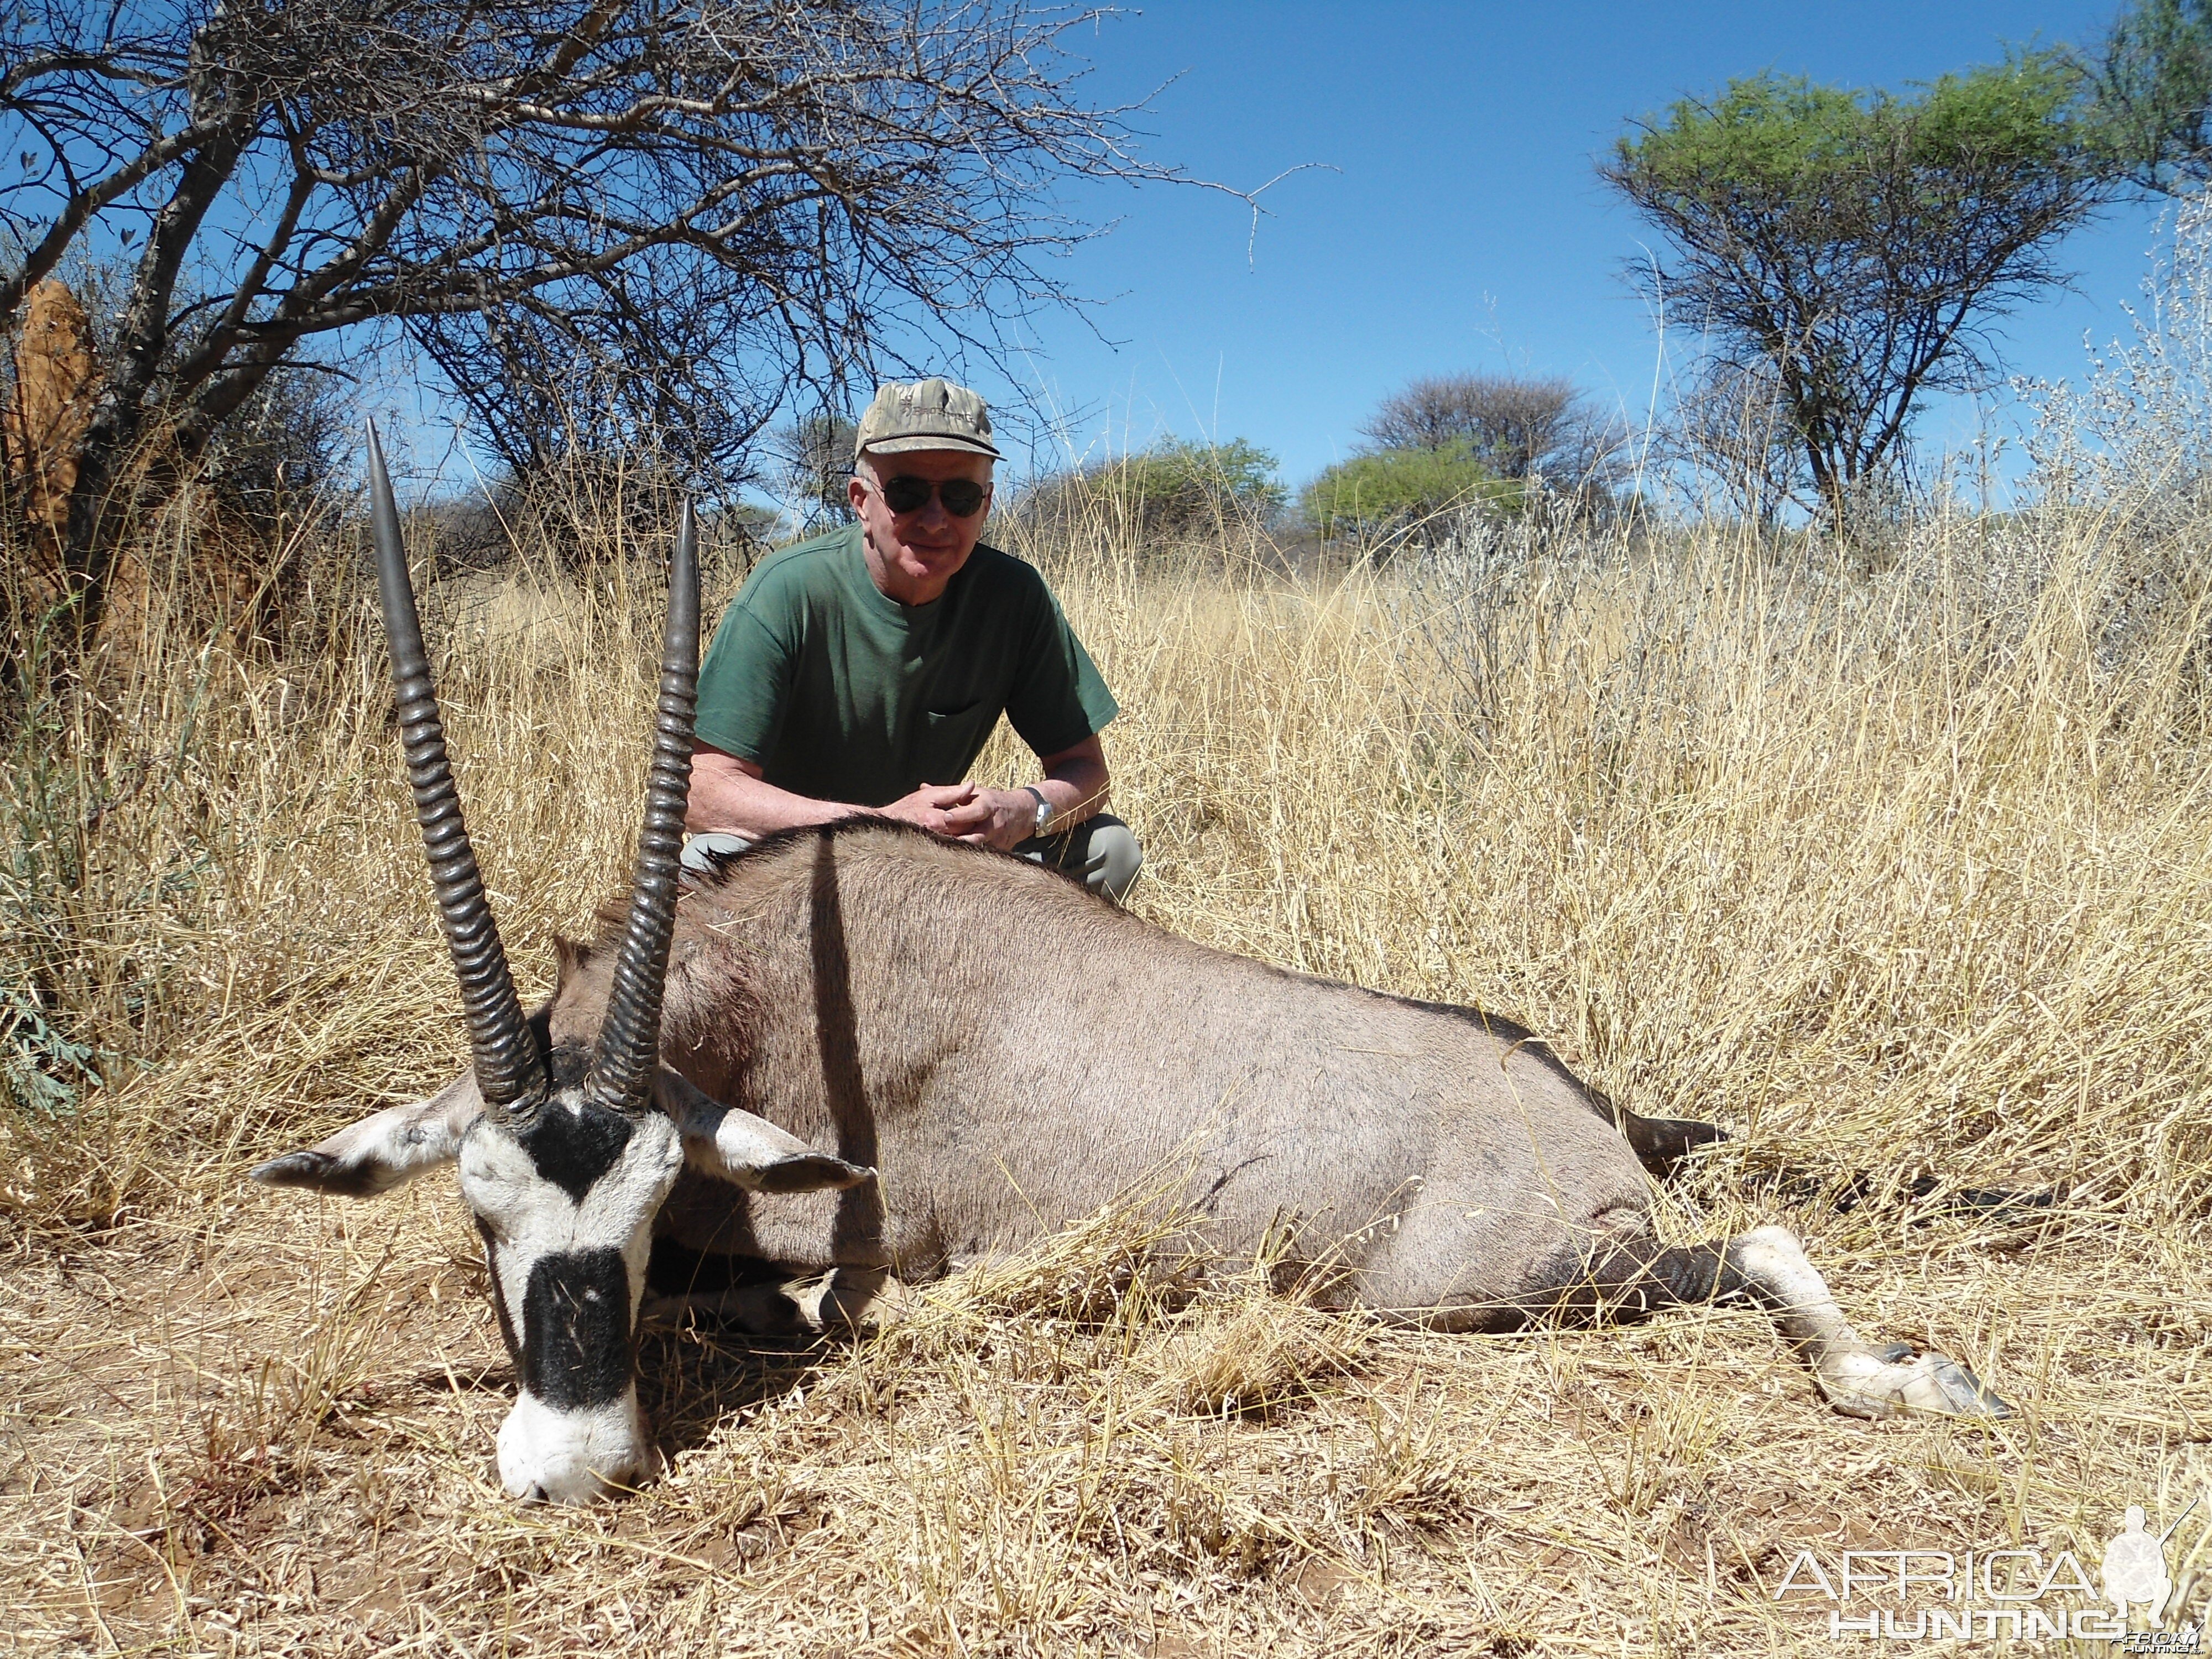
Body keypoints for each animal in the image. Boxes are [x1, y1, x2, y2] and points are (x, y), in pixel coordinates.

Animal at [251, 431, 2017, 1504]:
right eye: (484, 1212)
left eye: (639, 1205)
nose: (571, 1466)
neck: (764, 988)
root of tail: (1572, 1108)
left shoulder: (851, 1236)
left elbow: (804, 1301)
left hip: (1529, 1285)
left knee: (1752, 1247)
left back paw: (1912, 1382)